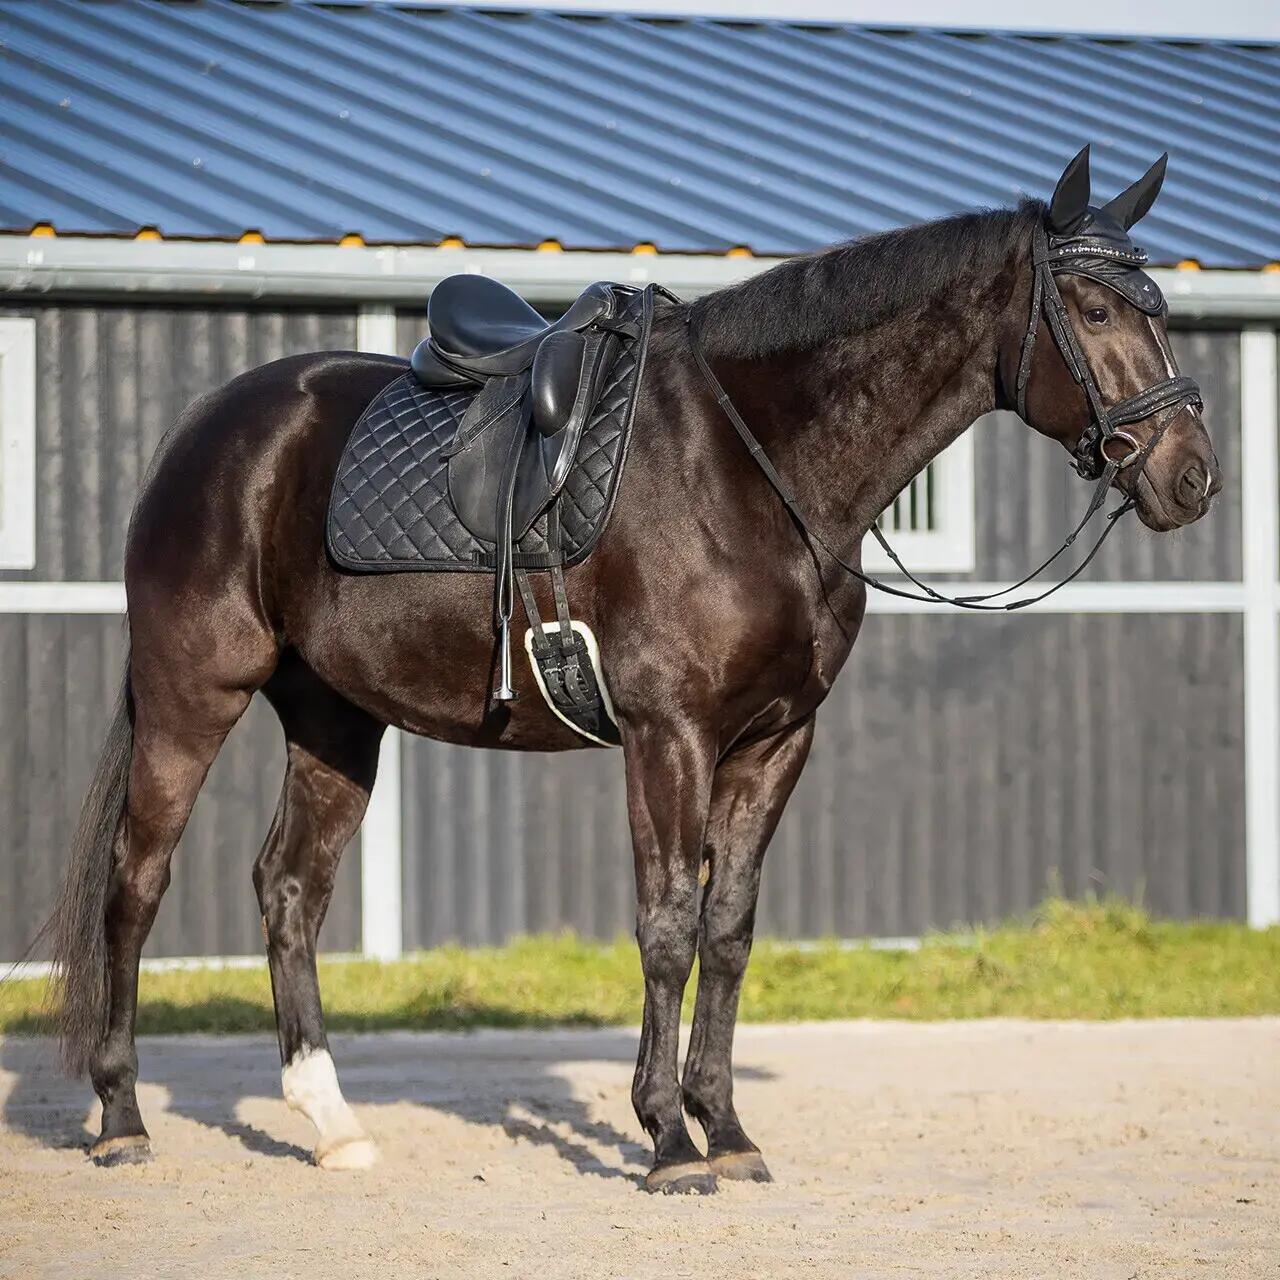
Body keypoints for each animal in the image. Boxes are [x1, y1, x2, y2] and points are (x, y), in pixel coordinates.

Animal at [49, 145, 1219, 1193]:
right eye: (1096, 310)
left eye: (1159, 304)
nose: (1191, 477)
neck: (751, 465)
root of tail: (208, 429)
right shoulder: (670, 734)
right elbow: (665, 925)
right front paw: (666, 1141)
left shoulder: (773, 741)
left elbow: (728, 928)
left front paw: (726, 1127)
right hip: (192, 694)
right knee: (137, 880)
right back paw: (121, 1119)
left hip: (335, 718)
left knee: (292, 888)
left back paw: (332, 1124)